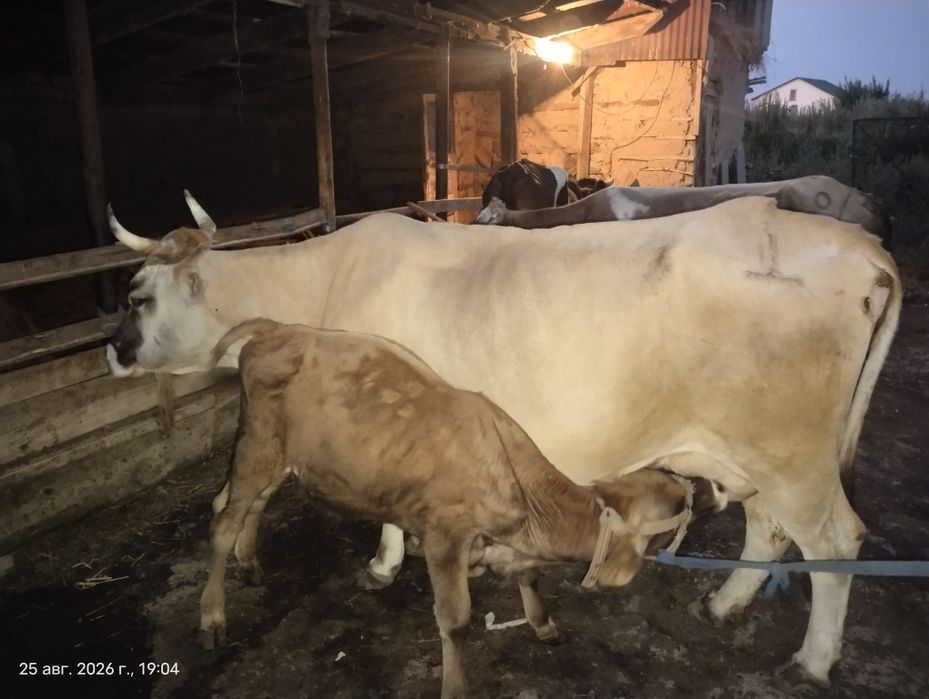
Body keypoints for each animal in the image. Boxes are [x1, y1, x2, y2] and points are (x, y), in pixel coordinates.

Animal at [200, 318, 726, 698]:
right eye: (677, 500)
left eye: (672, 479)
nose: (714, 488)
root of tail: (277, 329)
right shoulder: (445, 536)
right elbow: (456, 621)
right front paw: (456, 687)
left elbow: (529, 577)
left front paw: (544, 624)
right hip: (257, 447)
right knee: (223, 519)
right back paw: (213, 617)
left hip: (282, 456)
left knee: (248, 505)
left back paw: (250, 564)